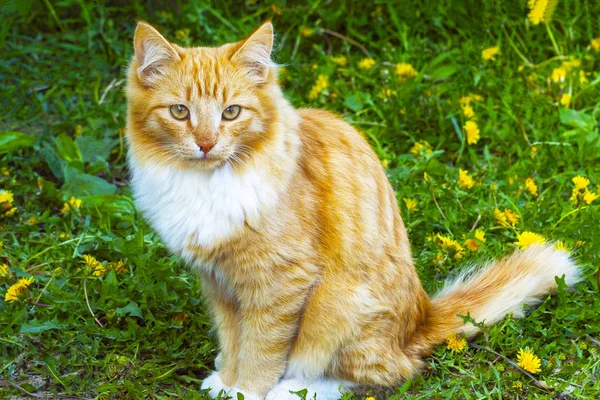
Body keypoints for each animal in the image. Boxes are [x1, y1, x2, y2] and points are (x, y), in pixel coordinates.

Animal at [126, 21, 580, 400]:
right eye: (180, 111)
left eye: (232, 112)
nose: (205, 143)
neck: (206, 183)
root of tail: (421, 319)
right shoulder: (219, 281)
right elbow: (232, 336)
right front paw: (226, 378)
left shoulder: (280, 279)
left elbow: (262, 345)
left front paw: (246, 390)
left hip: (340, 302)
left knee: (387, 372)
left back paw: (293, 390)